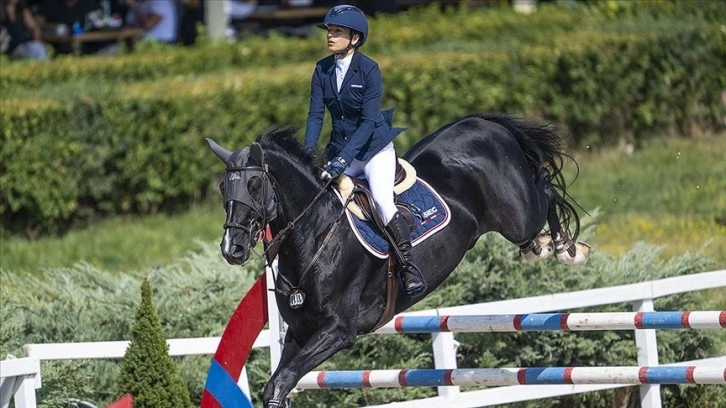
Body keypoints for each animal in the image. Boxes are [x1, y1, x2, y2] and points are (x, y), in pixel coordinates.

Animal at [206, 112, 592, 408]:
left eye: (254, 185)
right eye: (224, 189)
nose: (231, 248)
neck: (316, 233)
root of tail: (480, 122)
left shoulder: (338, 330)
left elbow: (282, 381)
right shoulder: (301, 334)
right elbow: (278, 383)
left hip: (518, 215)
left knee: (546, 189)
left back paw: (565, 249)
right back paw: (540, 246)